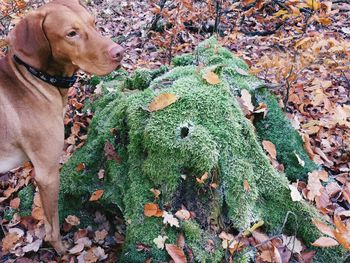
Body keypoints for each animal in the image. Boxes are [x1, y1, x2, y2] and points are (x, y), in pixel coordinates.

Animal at [0, 0, 123, 255]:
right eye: (71, 34)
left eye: (94, 23)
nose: (120, 52)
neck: (33, 79)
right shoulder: (47, 173)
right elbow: (53, 225)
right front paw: (60, 251)